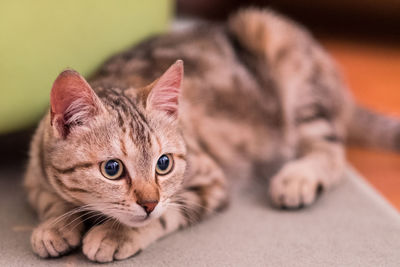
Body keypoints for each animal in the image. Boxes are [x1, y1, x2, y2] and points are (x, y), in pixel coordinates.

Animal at [24, 8, 400, 264]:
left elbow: (165, 215)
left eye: (163, 164)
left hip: (278, 47)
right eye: (112, 169)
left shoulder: (210, 182)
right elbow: (50, 199)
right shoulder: (33, 174)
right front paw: (56, 226)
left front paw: (117, 234)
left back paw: (296, 179)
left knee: (332, 153)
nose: (148, 203)